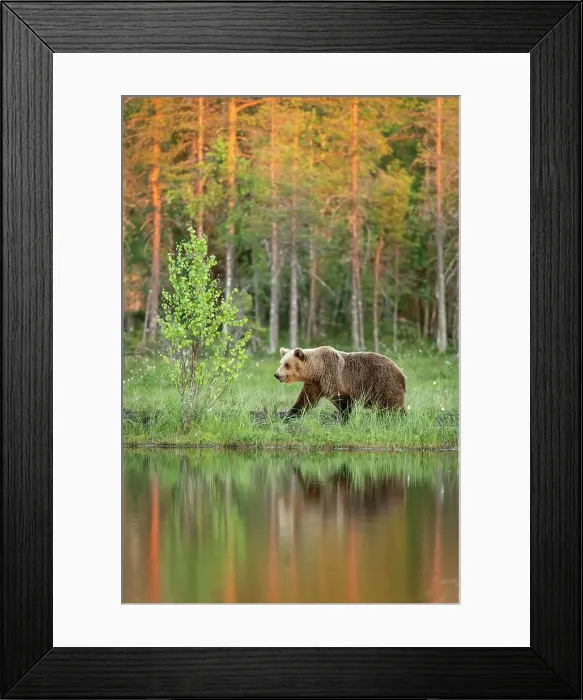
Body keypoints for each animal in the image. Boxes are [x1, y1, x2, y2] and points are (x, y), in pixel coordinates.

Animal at [274, 345, 406, 419]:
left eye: (287, 364)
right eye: (281, 363)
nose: (276, 375)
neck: (317, 370)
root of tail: (401, 373)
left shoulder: (333, 376)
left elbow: (343, 401)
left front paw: (343, 418)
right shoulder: (314, 385)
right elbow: (305, 400)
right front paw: (289, 413)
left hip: (383, 383)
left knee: (392, 404)